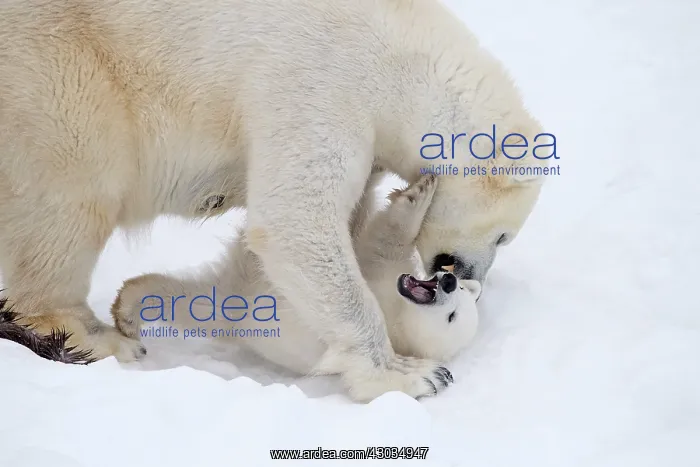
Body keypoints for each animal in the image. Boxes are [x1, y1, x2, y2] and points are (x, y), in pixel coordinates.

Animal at [111, 174, 483, 401]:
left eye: (451, 316)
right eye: (462, 294)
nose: (448, 280)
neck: (398, 317)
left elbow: (381, 243)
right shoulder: (387, 279)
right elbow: (383, 241)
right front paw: (421, 191)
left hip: (243, 301)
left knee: (196, 301)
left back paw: (130, 307)